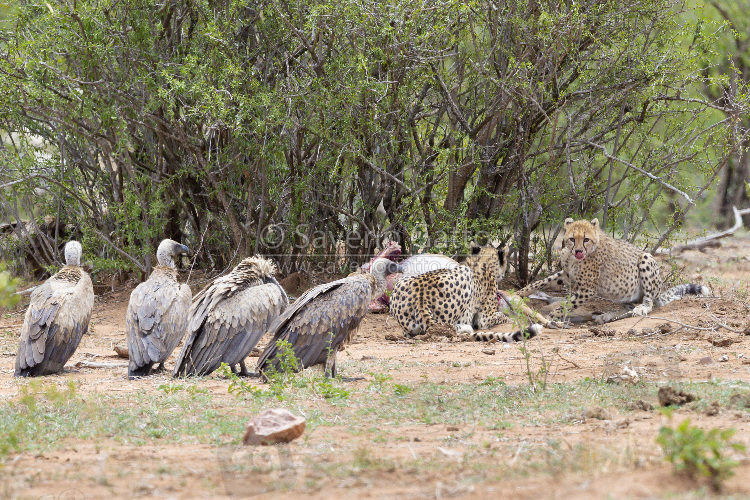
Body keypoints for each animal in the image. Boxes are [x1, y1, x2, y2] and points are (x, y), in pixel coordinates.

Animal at [388, 244, 540, 342]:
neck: (481, 260)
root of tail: (421, 298)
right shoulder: (485, 318)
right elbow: (501, 316)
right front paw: (511, 319)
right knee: (448, 327)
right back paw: (466, 328)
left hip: (402, 282)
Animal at [516, 218, 712, 318]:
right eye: (572, 238)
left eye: (585, 239)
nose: (578, 251)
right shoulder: (566, 274)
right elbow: (542, 281)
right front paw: (518, 294)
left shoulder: (587, 289)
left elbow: (569, 303)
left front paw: (552, 315)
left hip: (646, 258)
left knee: (649, 301)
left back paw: (640, 308)